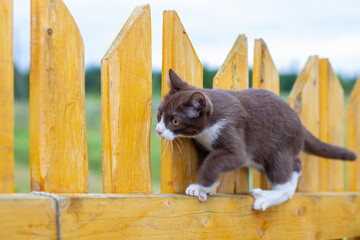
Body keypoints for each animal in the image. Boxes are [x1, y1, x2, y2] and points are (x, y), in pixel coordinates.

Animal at [156, 68, 356, 211]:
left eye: (175, 121)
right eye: (159, 114)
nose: (158, 130)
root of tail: (301, 126)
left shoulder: (233, 132)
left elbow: (215, 161)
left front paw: (200, 186)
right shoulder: (205, 144)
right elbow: (207, 159)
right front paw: (205, 191)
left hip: (279, 148)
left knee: (285, 172)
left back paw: (266, 198)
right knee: (296, 165)